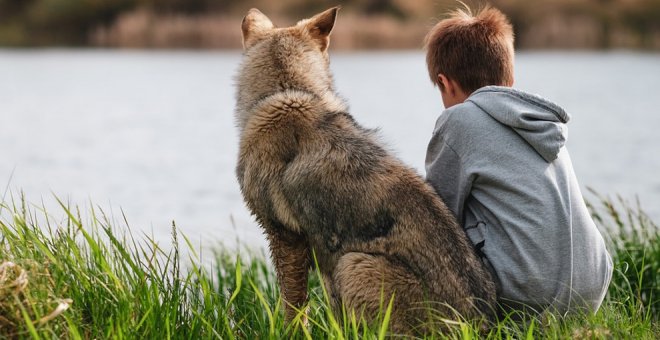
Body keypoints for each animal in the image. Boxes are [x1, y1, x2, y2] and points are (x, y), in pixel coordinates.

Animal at [232, 6, 496, 334]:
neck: (287, 92)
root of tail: (479, 325)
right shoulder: (320, 256)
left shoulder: (285, 237)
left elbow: (293, 307)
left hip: (354, 265)